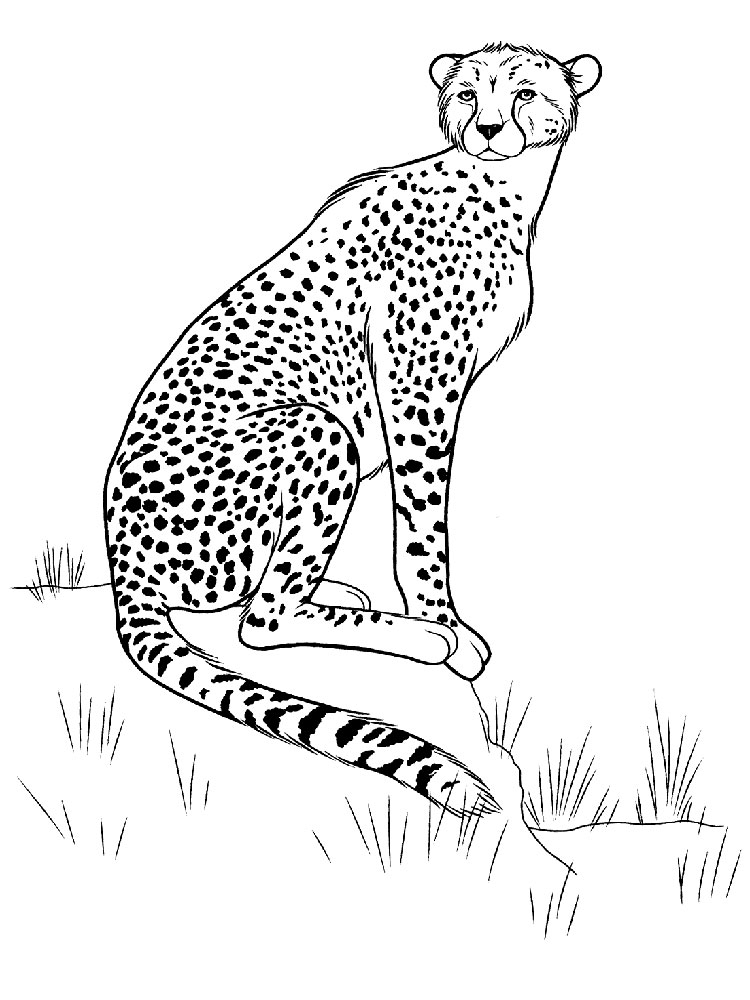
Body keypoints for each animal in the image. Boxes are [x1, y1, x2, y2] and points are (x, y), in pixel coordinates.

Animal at [104, 42, 602, 817]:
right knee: (263, 620)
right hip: (322, 428)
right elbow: (424, 523)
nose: (489, 128)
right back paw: (418, 638)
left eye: (524, 92)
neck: (501, 188)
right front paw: (444, 622)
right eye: (467, 94)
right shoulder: (417, 384)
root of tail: (119, 550)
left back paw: (340, 591)